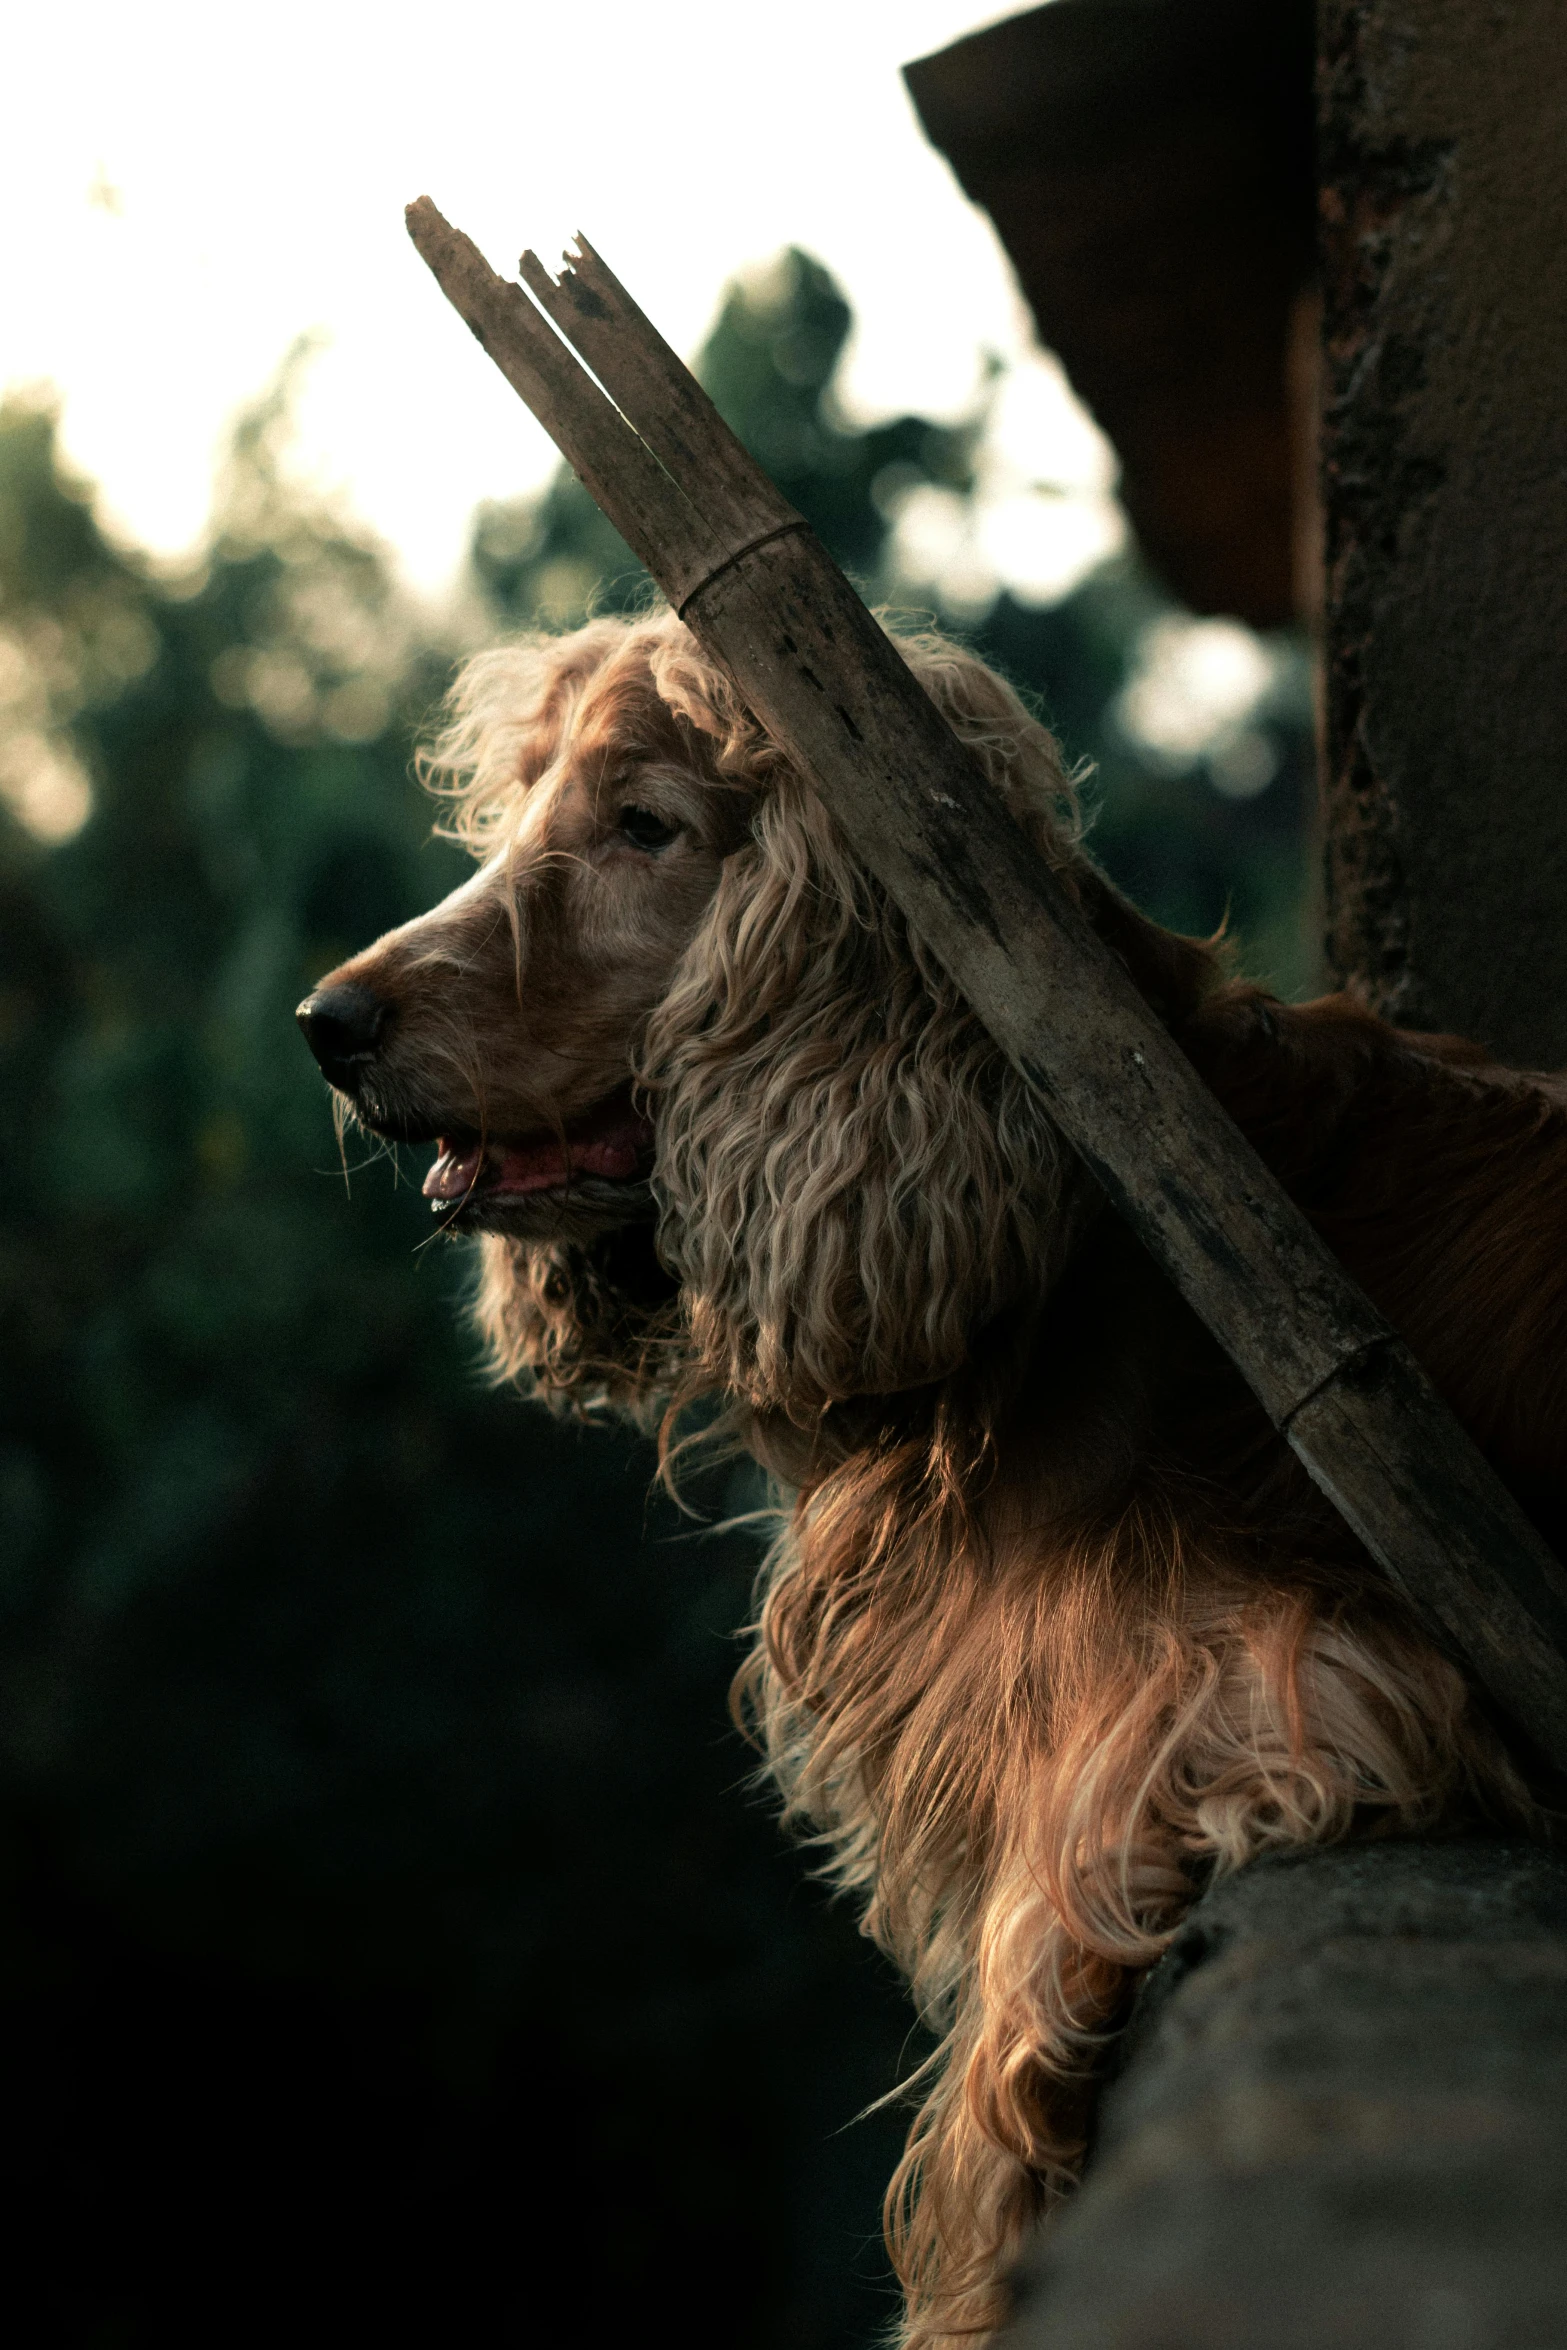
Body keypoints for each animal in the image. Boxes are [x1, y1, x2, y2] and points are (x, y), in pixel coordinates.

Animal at [300, 611, 1559, 2350]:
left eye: (645, 825)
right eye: (530, 796)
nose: (326, 1022)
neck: (1059, 1242)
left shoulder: (1253, 1679)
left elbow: (994, 2077)